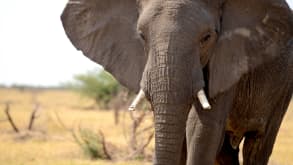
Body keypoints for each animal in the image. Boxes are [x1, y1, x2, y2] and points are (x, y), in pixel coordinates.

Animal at [60, 0, 290, 164]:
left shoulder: (230, 56)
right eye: (142, 36)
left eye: (207, 37)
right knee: (225, 154)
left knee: (258, 147)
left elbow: (200, 127)